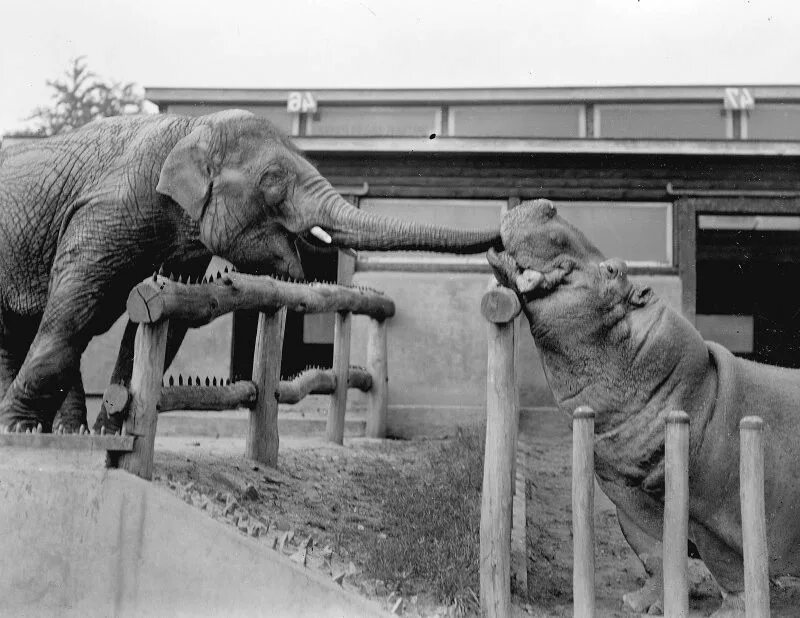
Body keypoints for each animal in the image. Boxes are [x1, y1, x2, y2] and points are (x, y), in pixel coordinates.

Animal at [0, 108, 500, 430]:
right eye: (274, 183)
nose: (502, 241)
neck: (191, 128)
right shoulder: (107, 210)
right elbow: (75, 310)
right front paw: (21, 430)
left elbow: (165, 309)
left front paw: (112, 430)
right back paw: (32, 430)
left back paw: (64, 432)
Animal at [488, 200, 800, 612]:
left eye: (614, 269)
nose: (547, 205)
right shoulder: (627, 495)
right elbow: (655, 552)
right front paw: (639, 604)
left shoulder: (716, 514)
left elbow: (733, 569)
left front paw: (728, 614)